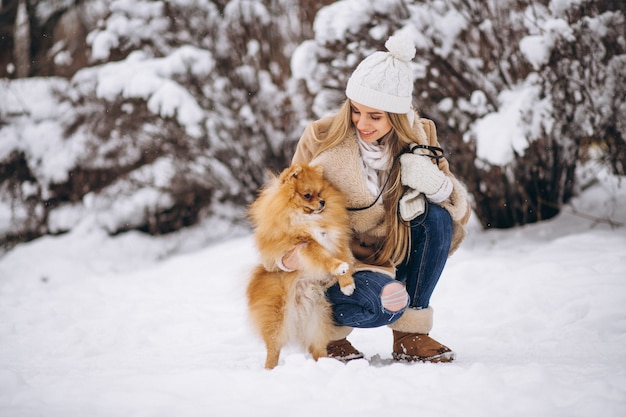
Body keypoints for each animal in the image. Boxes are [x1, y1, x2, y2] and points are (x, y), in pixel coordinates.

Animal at [245, 162, 354, 368]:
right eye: (308, 195)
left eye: (320, 193)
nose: (323, 202)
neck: (309, 219)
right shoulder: (304, 245)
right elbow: (323, 257)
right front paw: (337, 267)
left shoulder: (336, 241)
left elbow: (343, 259)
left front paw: (347, 284)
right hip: (277, 320)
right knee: (273, 348)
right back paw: (270, 370)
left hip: (317, 319)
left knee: (318, 348)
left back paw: (326, 366)